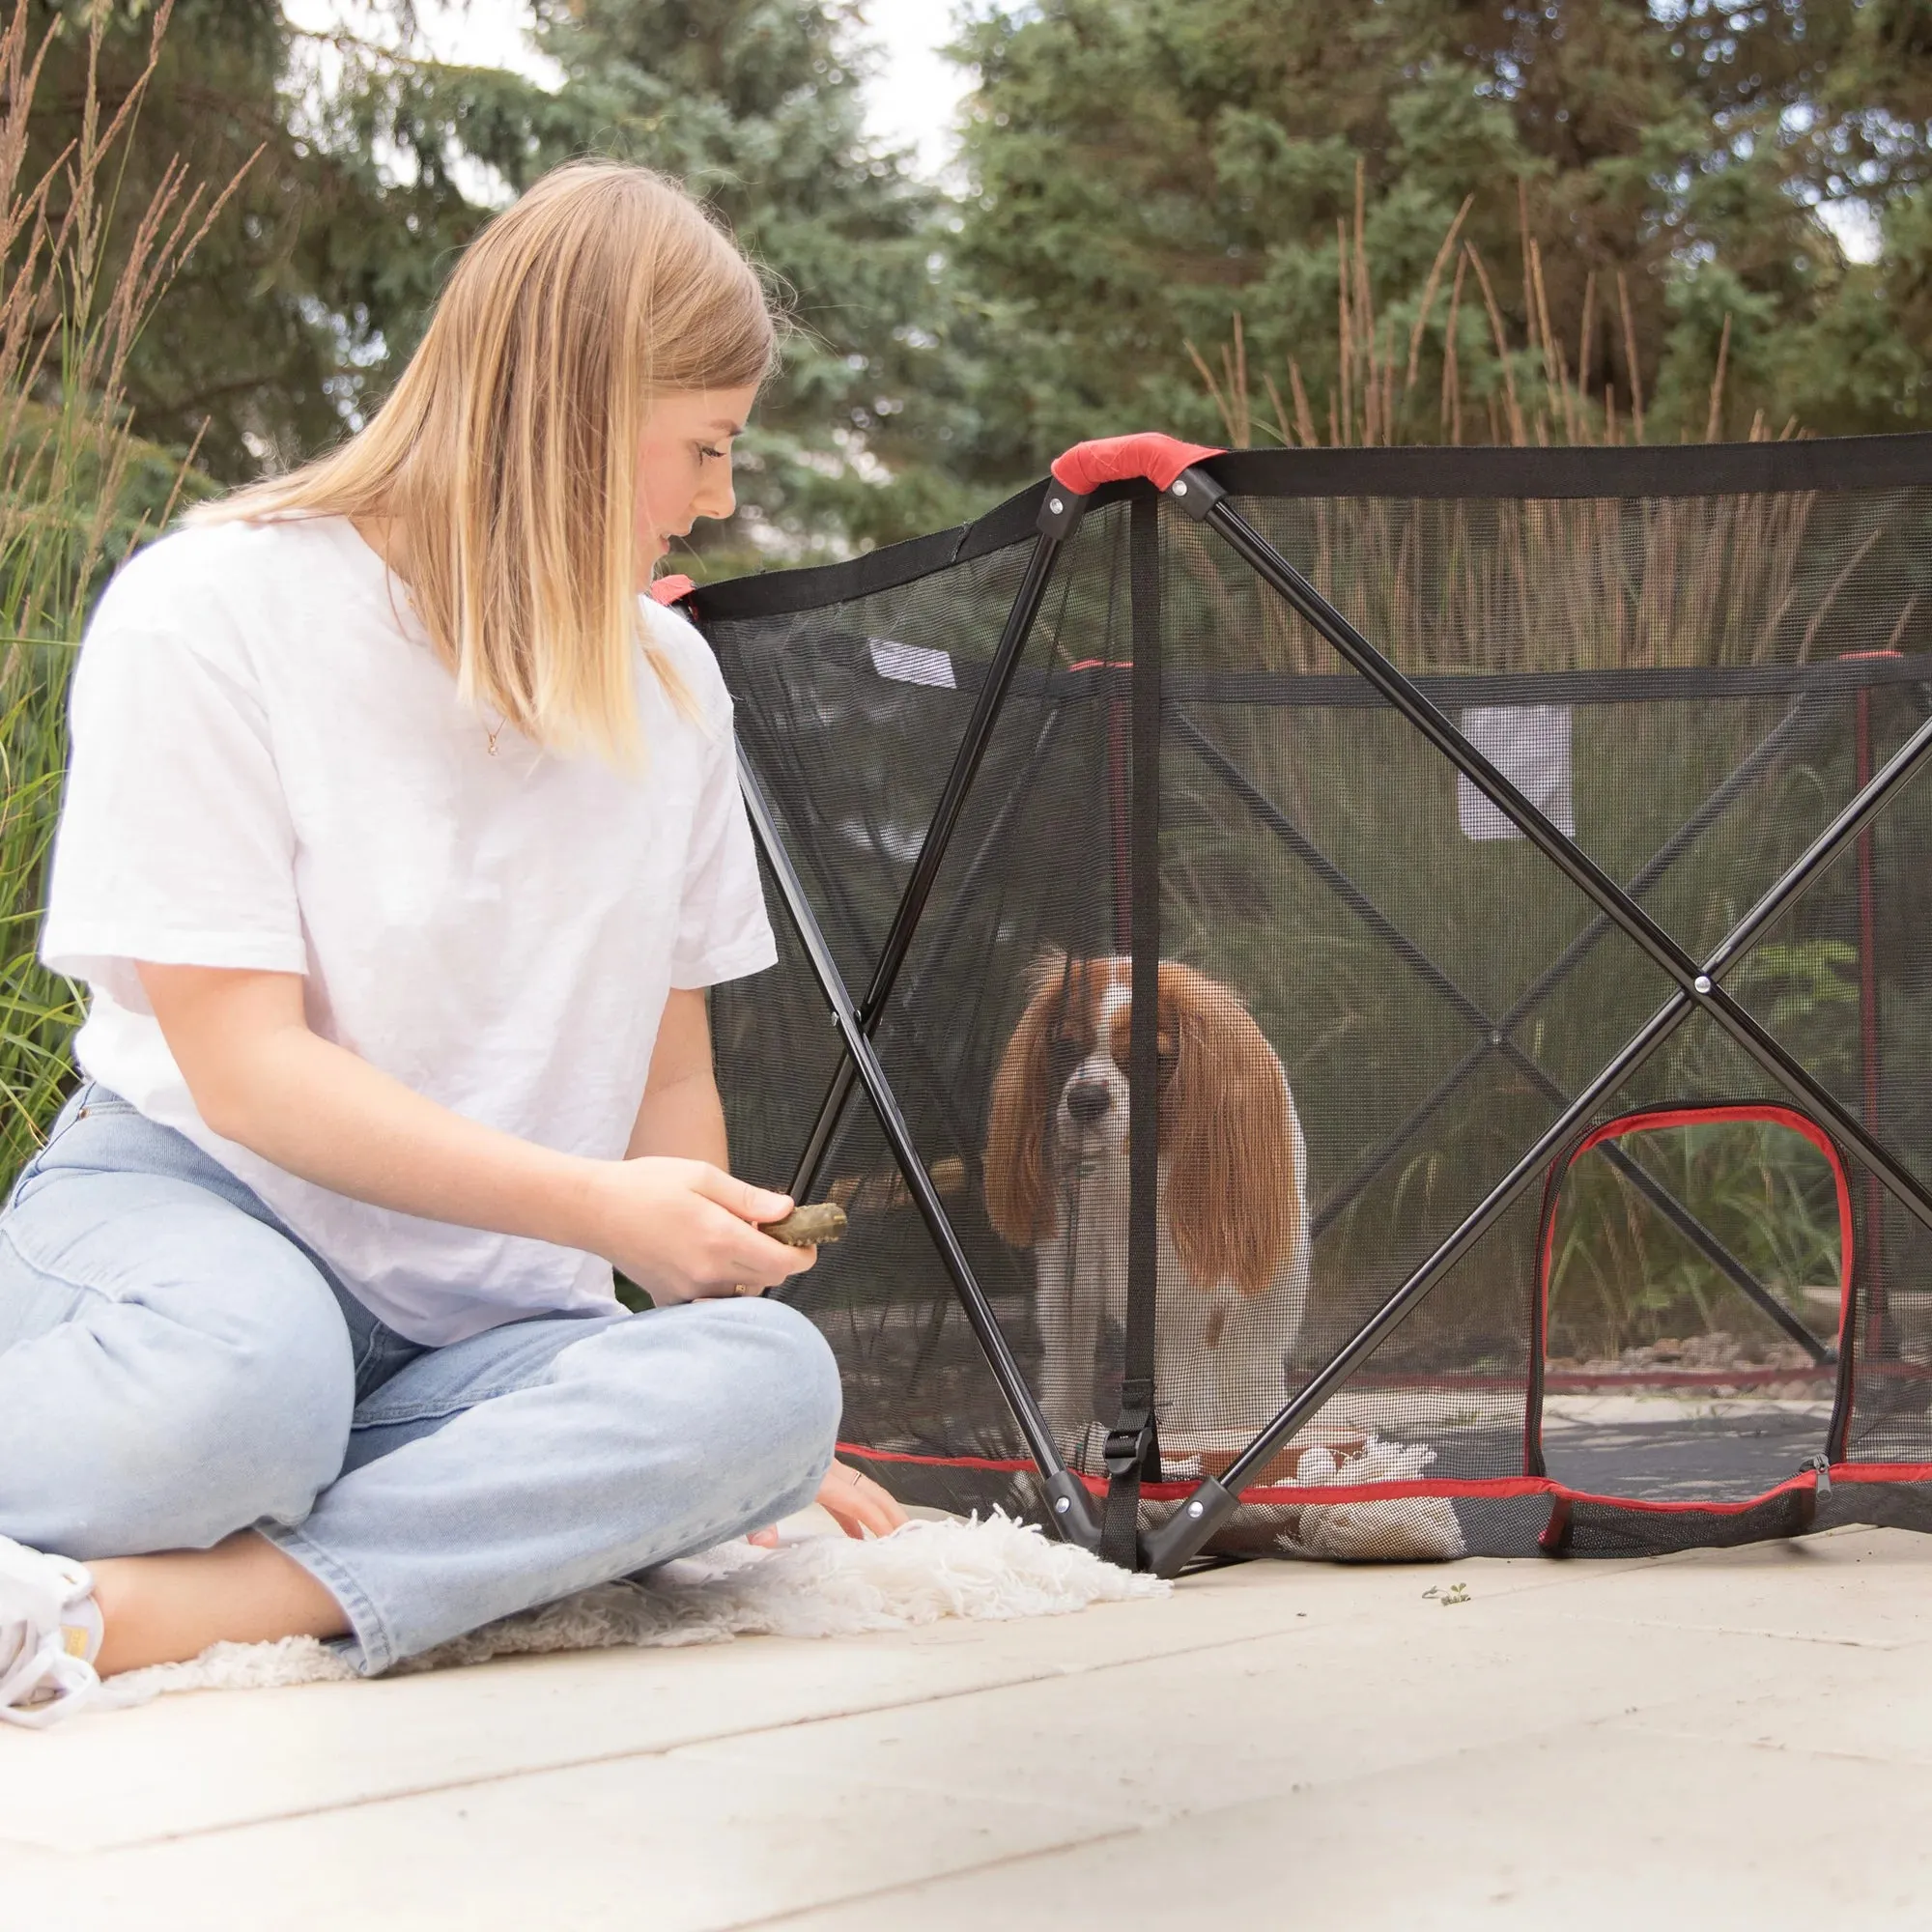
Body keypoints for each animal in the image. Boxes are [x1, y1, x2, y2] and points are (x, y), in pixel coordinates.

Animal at [981, 958, 1314, 1453]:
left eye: (1151, 1059)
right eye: (1064, 1046)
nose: (1084, 1101)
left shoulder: (1188, 1303)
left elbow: (1184, 1388)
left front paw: (1178, 1442)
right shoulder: (1067, 1281)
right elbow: (1065, 1372)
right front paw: (1059, 1436)